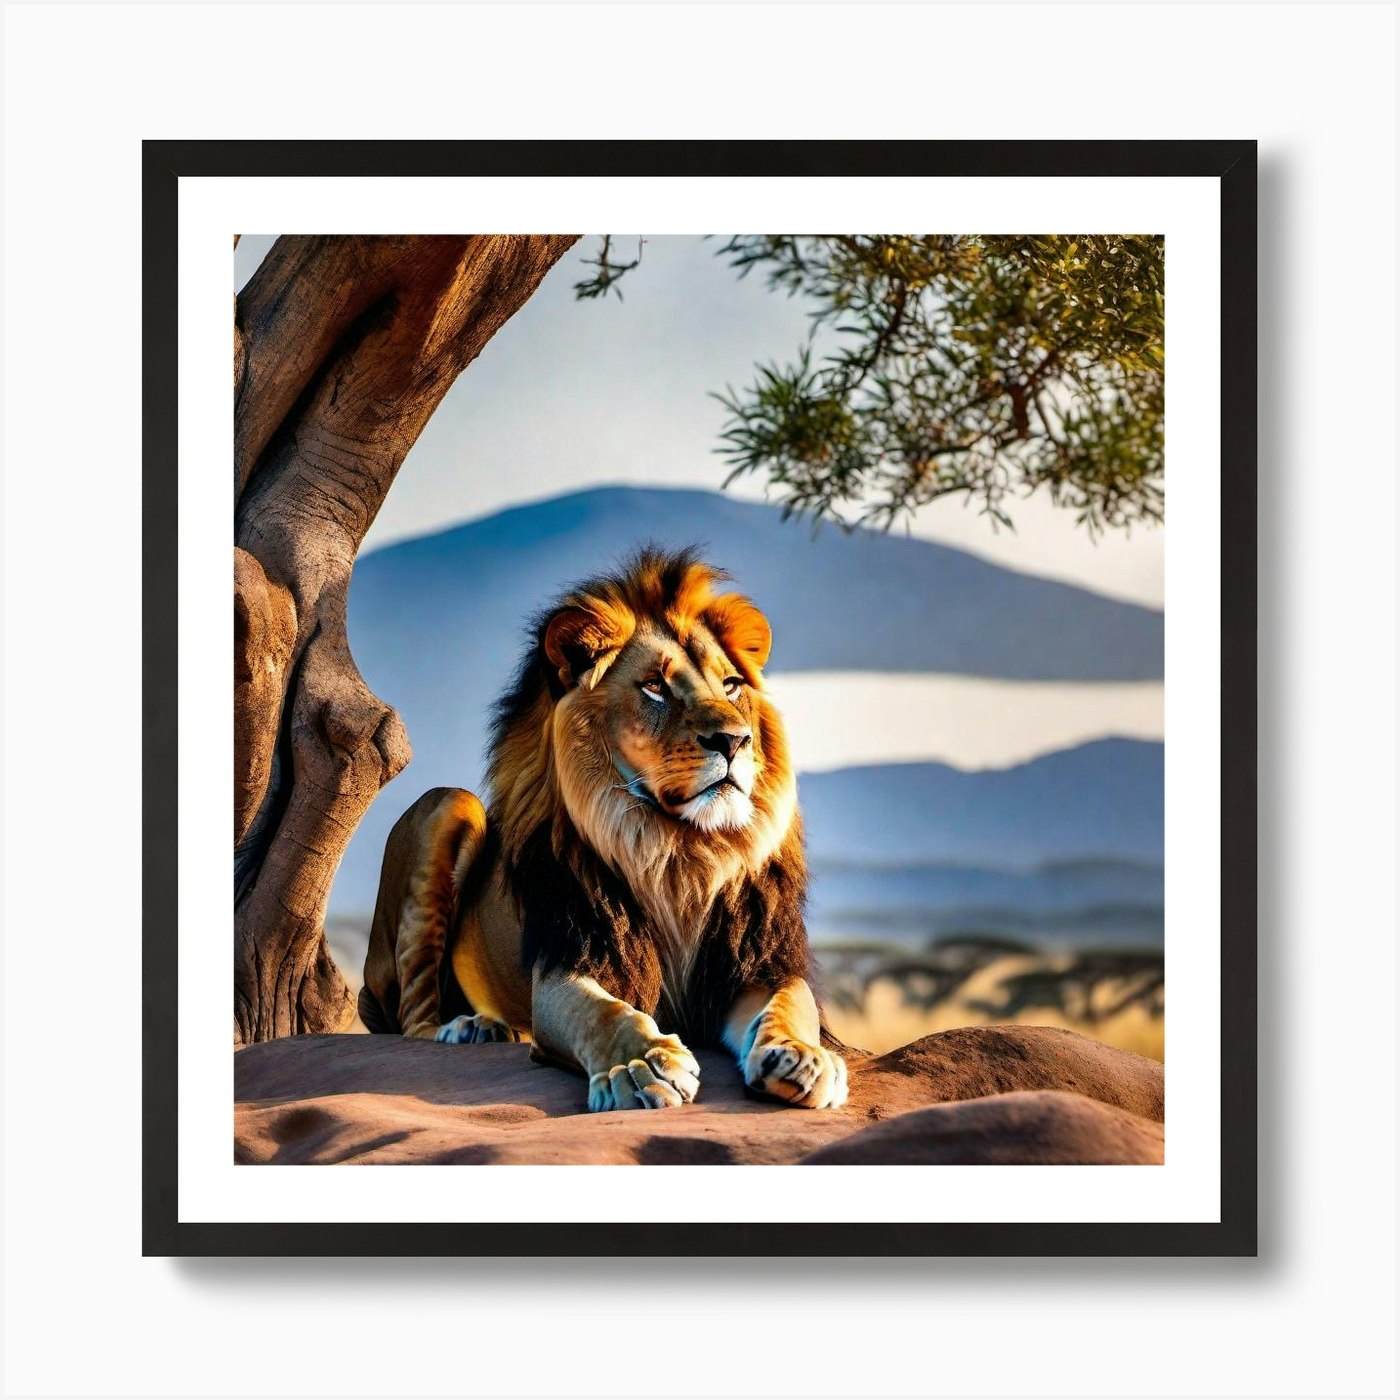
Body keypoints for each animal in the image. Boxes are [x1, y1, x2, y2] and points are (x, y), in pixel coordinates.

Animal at [358, 546, 848, 1112]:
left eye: (731, 686)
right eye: (655, 687)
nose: (734, 740)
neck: (680, 854)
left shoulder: (753, 964)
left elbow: (791, 1002)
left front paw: (803, 1057)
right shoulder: (570, 961)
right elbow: (603, 1013)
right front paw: (641, 1067)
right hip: (447, 807)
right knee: (411, 1022)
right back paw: (466, 1029)